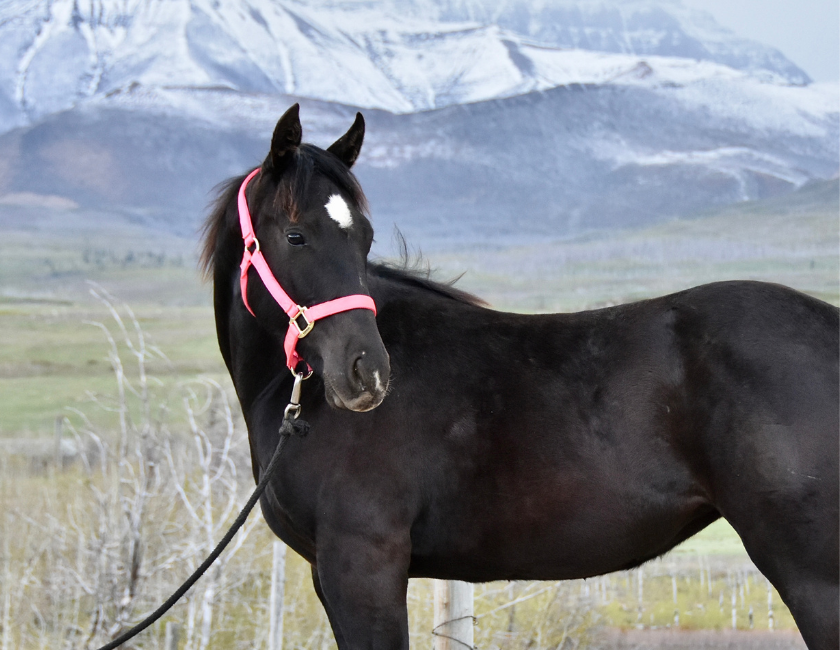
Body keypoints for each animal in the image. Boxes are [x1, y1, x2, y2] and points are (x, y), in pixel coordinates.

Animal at [201, 104, 839, 650]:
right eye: (295, 234)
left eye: (364, 237)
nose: (368, 374)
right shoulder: (332, 573)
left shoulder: (362, 566)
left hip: (814, 576)